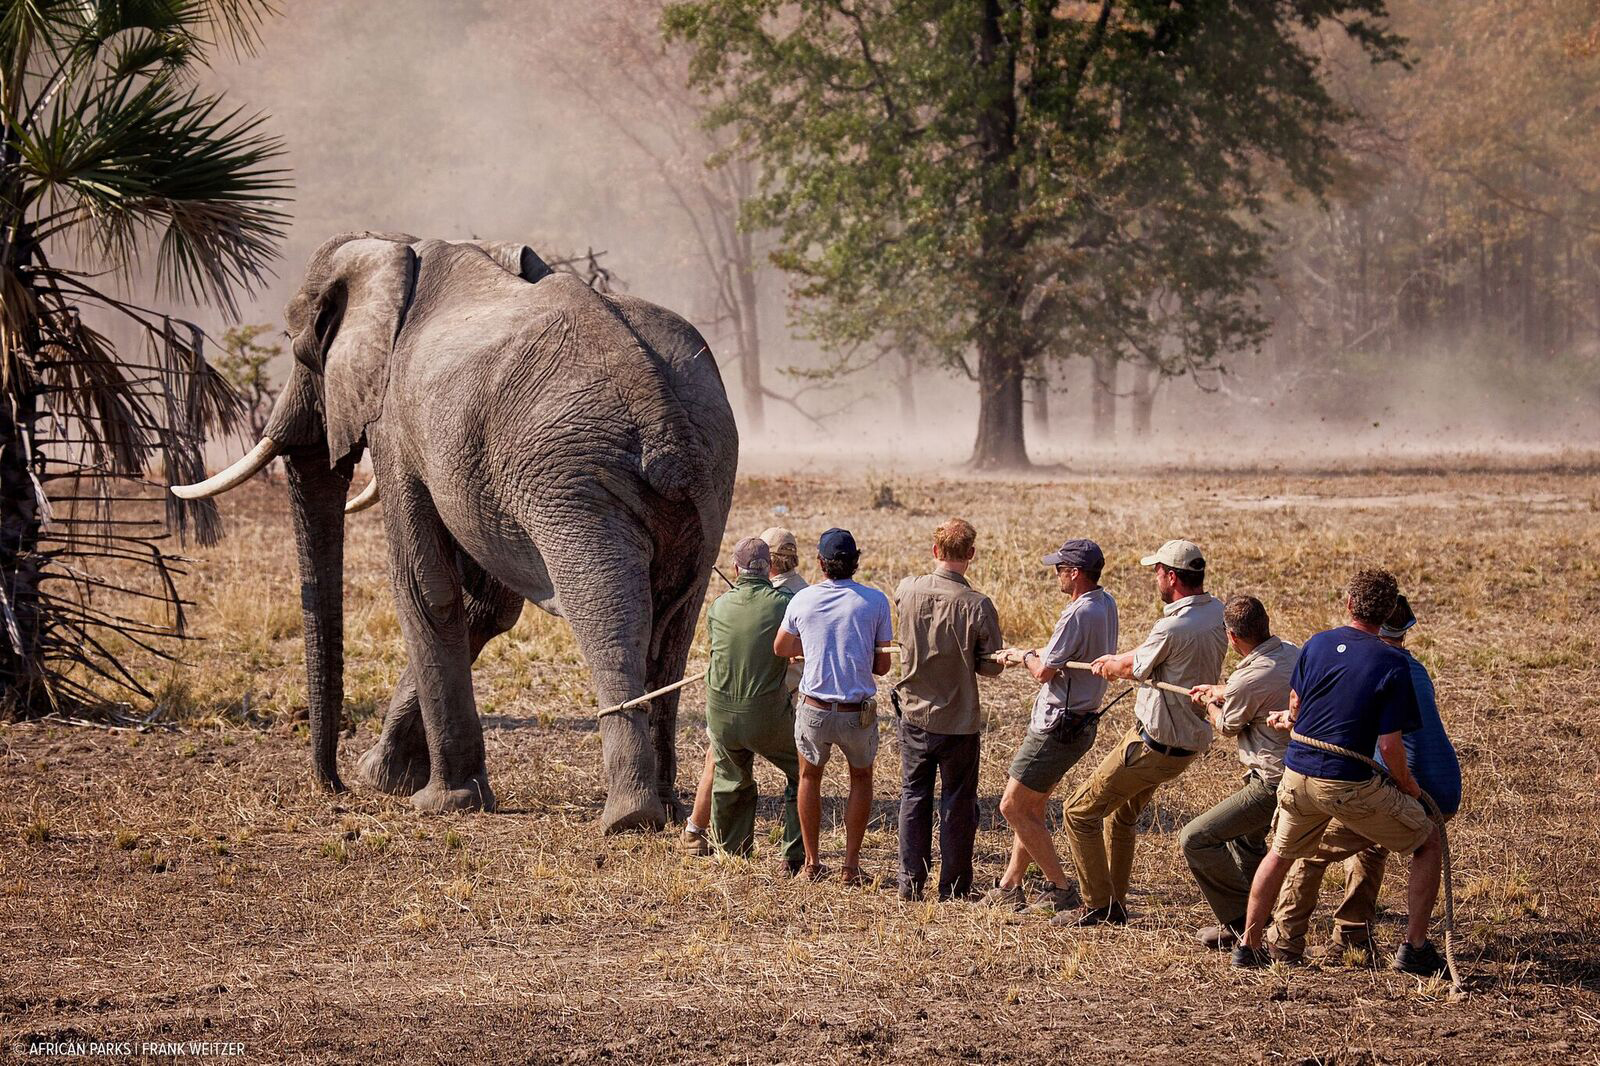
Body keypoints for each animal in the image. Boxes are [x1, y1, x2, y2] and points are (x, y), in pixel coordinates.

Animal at [178, 230, 739, 832]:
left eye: (298, 343)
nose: (332, 786)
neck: (398, 249)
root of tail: (658, 404)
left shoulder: (396, 423)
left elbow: (424, 588)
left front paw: (439, 801)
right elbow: (485, 605)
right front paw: (383, 778)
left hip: (573, 479)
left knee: (608, 611)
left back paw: (627, 817)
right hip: (707, 474)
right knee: (674, 622)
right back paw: (667, 806)